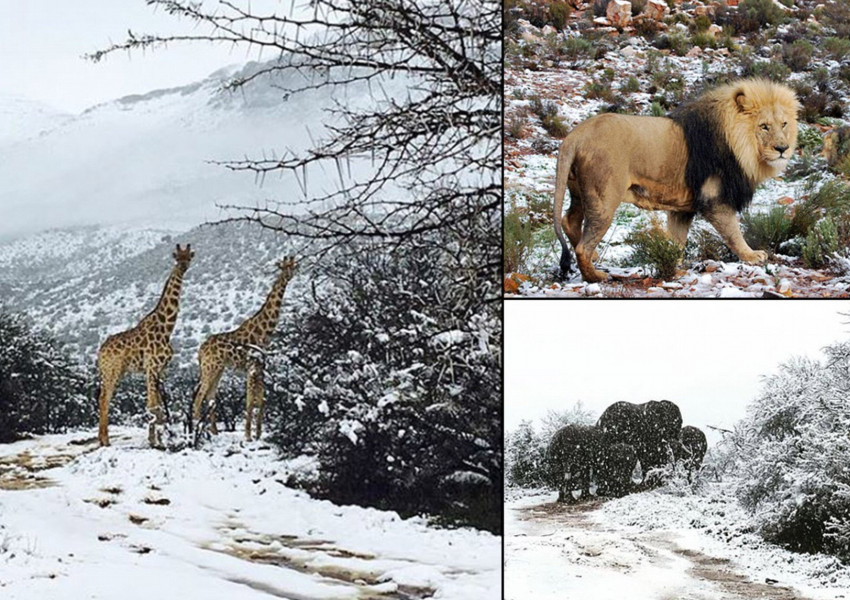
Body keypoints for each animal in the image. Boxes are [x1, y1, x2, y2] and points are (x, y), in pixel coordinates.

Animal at [96, 244, 194, 446]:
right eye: (177, 257)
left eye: (189, 257)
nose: (183, 267)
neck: (166, 328)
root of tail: (100, 352)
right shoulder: (151, 367)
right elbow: (152, 405)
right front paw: (155, 441)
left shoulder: (160, 369)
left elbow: (159, 407)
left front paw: (161, 440)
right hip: (112, 371)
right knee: (104, 399)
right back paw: (105, 441)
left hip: (112, 372)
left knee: (103, 398)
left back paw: (102, 439)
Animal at [190, 256, 296, 440]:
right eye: (283, 267)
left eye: (293, 265)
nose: (288, 275)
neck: (264, 331)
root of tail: (200, 351)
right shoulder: (251, 367)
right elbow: (249, 401)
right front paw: (248, 435)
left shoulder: (260, 367)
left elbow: (261, 401)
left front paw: (258, 434)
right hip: (210, 368)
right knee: (199, 396)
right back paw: (198, 432)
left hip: (218, 369)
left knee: (210, 397)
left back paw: (214, 432)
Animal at [552, 77, 800, 282]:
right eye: (764, 126)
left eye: (784, 124)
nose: (782, 149)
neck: (741, 146)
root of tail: (575, 135)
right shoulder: (715, 199)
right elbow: (733, 232)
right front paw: (752, 255)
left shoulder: (682, 210)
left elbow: (676, 241)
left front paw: (673, 263)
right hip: (604, 198)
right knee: (583, 246)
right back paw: (596, 276)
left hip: (580, 192)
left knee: (569, 221)